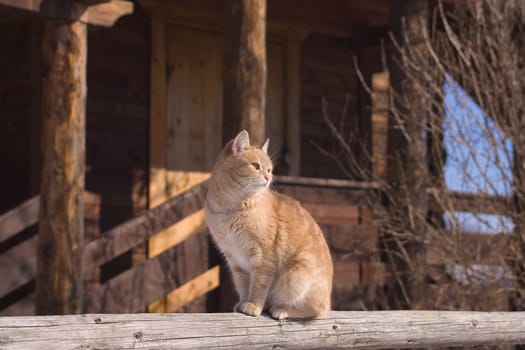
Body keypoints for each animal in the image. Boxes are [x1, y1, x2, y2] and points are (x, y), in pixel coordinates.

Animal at [205, 130, 332, 318]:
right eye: (255, 166)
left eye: (269, 169)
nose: (268, 177)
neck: (230, 208)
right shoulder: (235, 260)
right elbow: (243, 286)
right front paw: (244, 303)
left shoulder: (263, 257)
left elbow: (258, 286)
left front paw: (253, 305)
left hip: (297, 274)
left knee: (316, 310)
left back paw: (280, 308)